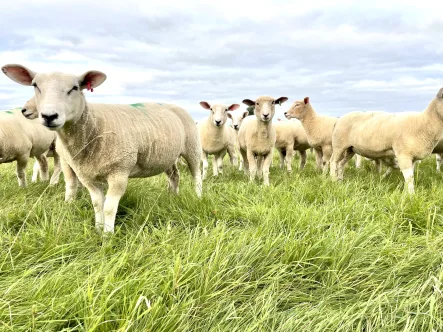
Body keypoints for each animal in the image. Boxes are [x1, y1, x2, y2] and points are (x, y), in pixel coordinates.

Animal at [1, 63, 203, 233]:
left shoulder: (119, 172)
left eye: (75, 88)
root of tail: (174, 105)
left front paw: (108, 235)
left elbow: (109, 208)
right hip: (167, 156)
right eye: (35, 85)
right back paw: (173, 197)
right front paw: (98, 230)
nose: (49, 116)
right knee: (174, 175)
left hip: (192, 147)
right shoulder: (87, 175)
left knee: (196, 175)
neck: (95, 126)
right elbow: (97, 204)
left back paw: (198, 196)